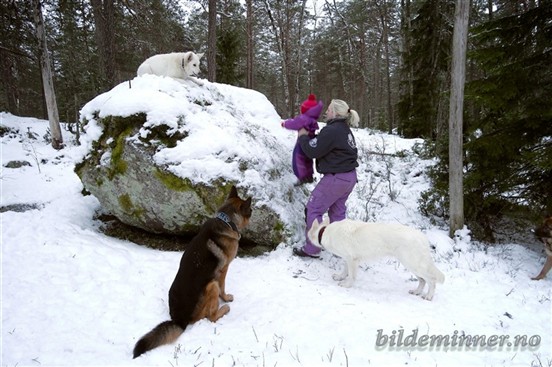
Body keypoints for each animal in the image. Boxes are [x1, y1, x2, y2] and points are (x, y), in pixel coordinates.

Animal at [306, 217, 444, 300]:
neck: (325, 232)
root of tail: (423, 237)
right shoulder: (348, 259)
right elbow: (345, 271)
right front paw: (340, 277)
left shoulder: (352, 260)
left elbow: (351, 276)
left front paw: (347, 285)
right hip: (411, 265)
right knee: (422, 280)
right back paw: (416, 292)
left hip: (412, 264)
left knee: (431, 280)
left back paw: (428, 296)